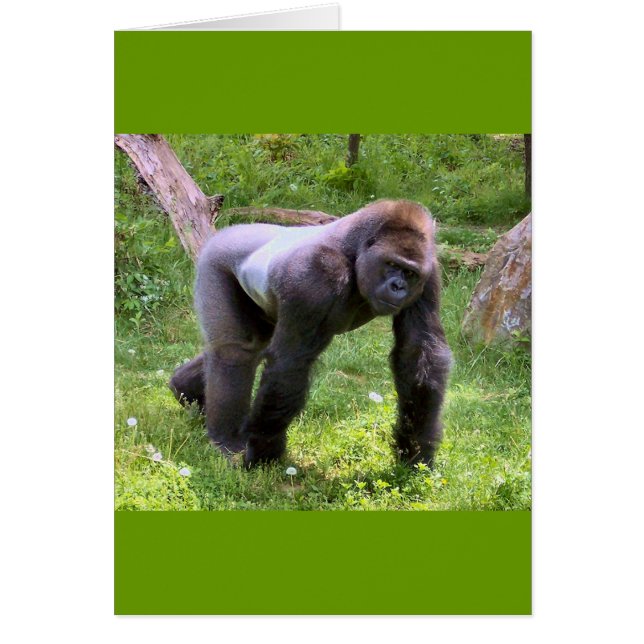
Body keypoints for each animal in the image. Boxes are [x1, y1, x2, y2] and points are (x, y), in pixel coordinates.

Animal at [169, 200, 452, 468]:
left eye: (409, 273)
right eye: (391, 264)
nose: (398, 287)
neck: (354, 250)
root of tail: (229, 232)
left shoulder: (429, 272)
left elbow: (418, 353)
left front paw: (416, 451)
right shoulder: (317, 274)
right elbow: (291, 363)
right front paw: (262, 452)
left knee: (250, 346)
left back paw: (181, 387)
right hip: (216, 260)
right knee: (236, 352)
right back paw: (227, 438)